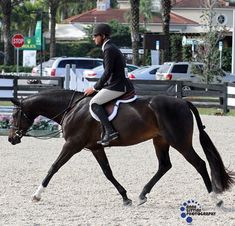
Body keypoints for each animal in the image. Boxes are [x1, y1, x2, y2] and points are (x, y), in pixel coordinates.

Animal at [8, 89, 234, 206]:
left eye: (14, 115)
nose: (11, 139)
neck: (71, 109)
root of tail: (183, 102)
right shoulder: (95, 148)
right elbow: (108, 172)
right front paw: (125, 197)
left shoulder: (72, 144)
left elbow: (54, 167)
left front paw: (37, 194)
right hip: (160, 140)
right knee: (164, 166)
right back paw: (142, 194)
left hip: (179, 141)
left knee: (199, 163)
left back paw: (215, 198)